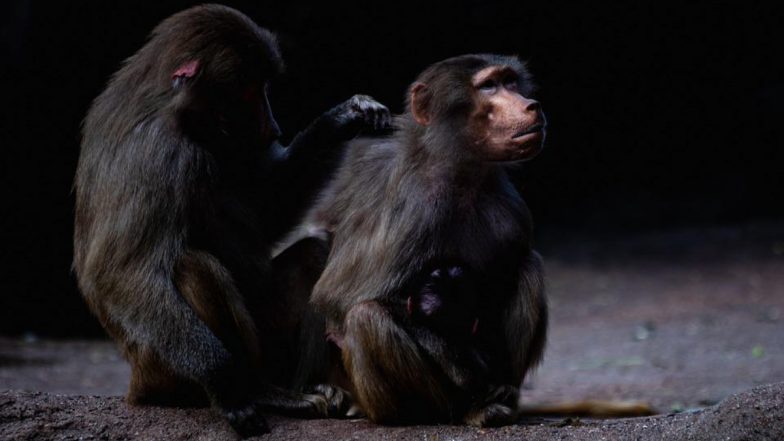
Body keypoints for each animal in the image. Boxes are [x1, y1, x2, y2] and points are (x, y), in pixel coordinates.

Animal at [72, 4, 389, 437]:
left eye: (264, 88)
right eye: (249, 92)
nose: (273, 128)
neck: (176, 114)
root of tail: (136, 382)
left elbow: (267, 210)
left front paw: (345, 117)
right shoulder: (156, 155)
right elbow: (118, 273)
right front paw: (225, 384)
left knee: (313, 255)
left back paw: (305, 385)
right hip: (160, 364)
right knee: (194, 267)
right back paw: (258, 390)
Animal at [292, 54, 548, 427]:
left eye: (510, 82)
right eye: (488, 86)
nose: (531, 105)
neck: (459, 175)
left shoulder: (511, 210)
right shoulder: (413, 207)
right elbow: (337, 296)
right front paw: (459, 359)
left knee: (527, 267)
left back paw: (501, 395)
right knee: (366, 317)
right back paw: (449, 410)